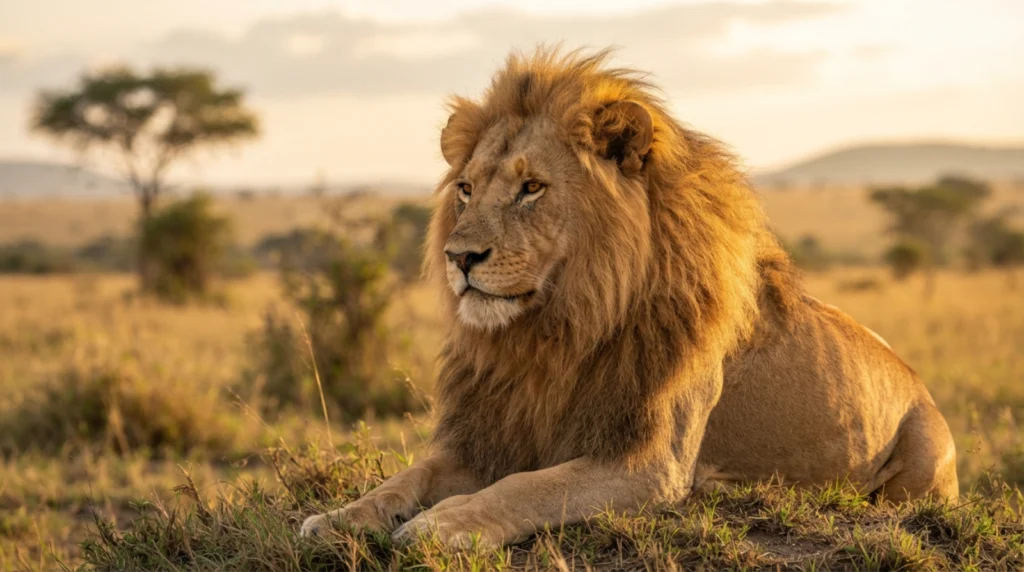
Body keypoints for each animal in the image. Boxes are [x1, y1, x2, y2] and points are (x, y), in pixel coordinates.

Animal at [301, 48, 958, 548]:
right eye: (465, 189)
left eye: (531, 187)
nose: (459, 257)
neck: (554, 333)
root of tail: (916, 380)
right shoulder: (493, 433)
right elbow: (405, 477)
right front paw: (339, 518)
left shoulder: (647, 462)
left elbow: (527, 488)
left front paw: (442, 525)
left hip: (925, 460)